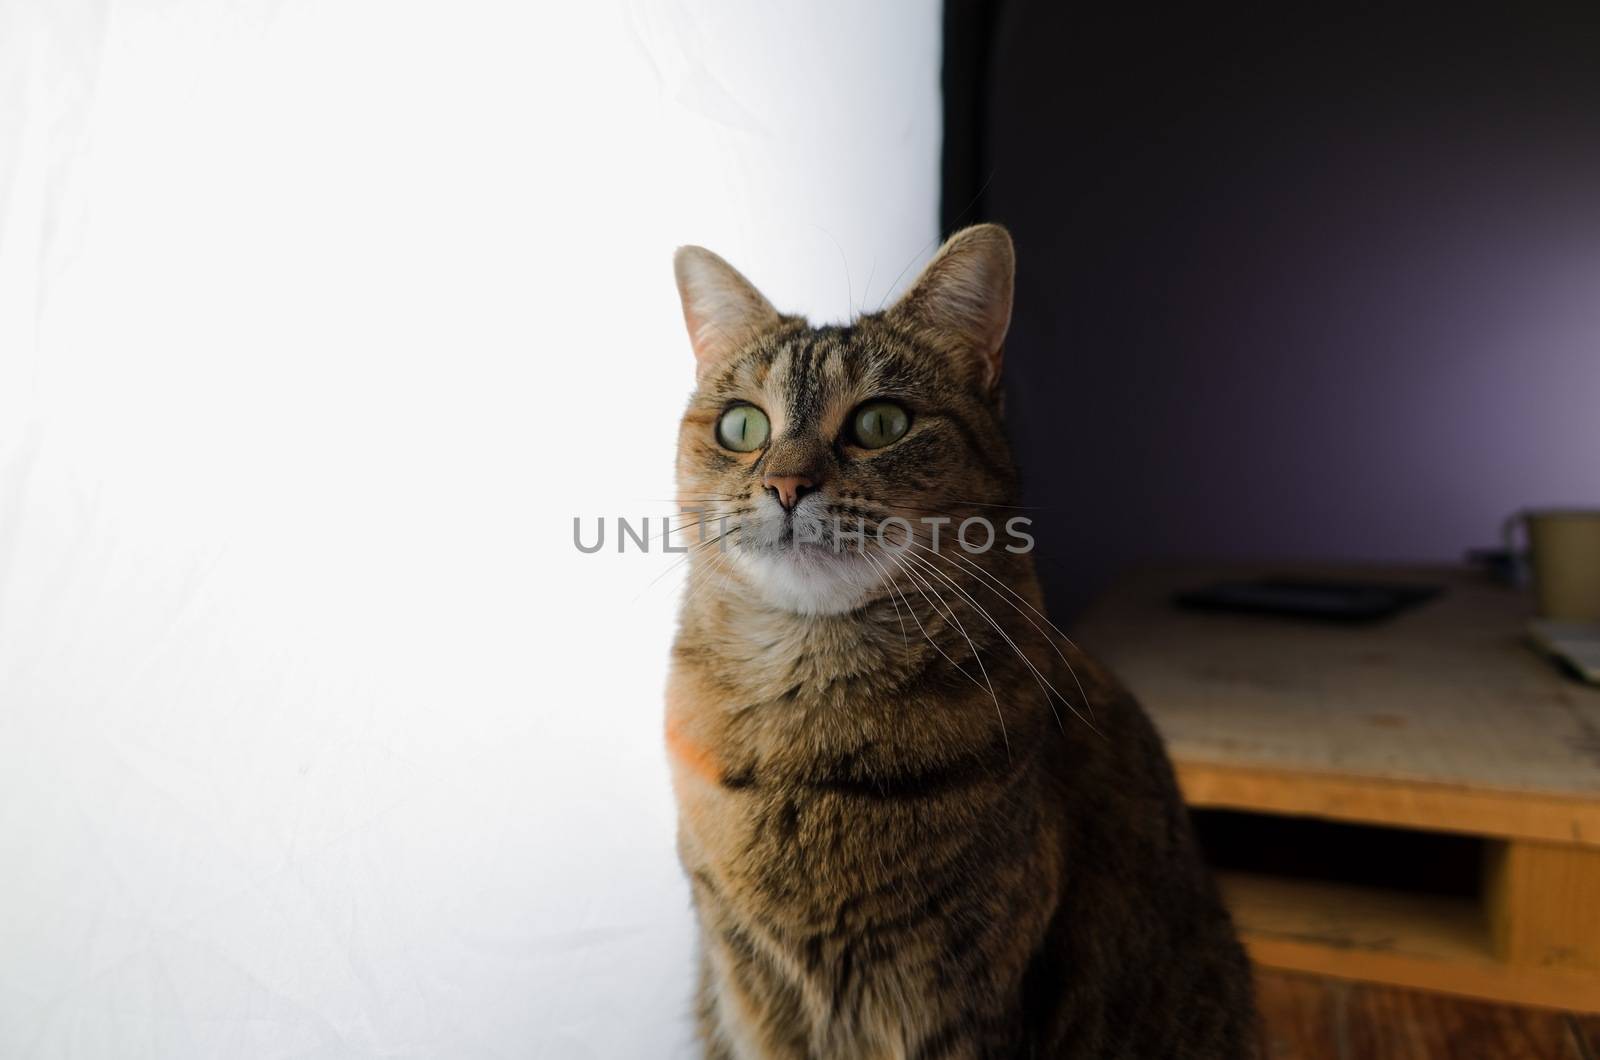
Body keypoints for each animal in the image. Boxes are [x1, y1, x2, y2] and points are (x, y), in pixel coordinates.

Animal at [665, 225, 1260, 1060]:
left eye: (882, 423)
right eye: (742, 426)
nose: (786, 485)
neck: (803, 742)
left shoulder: (958, 996)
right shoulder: (747, 982)